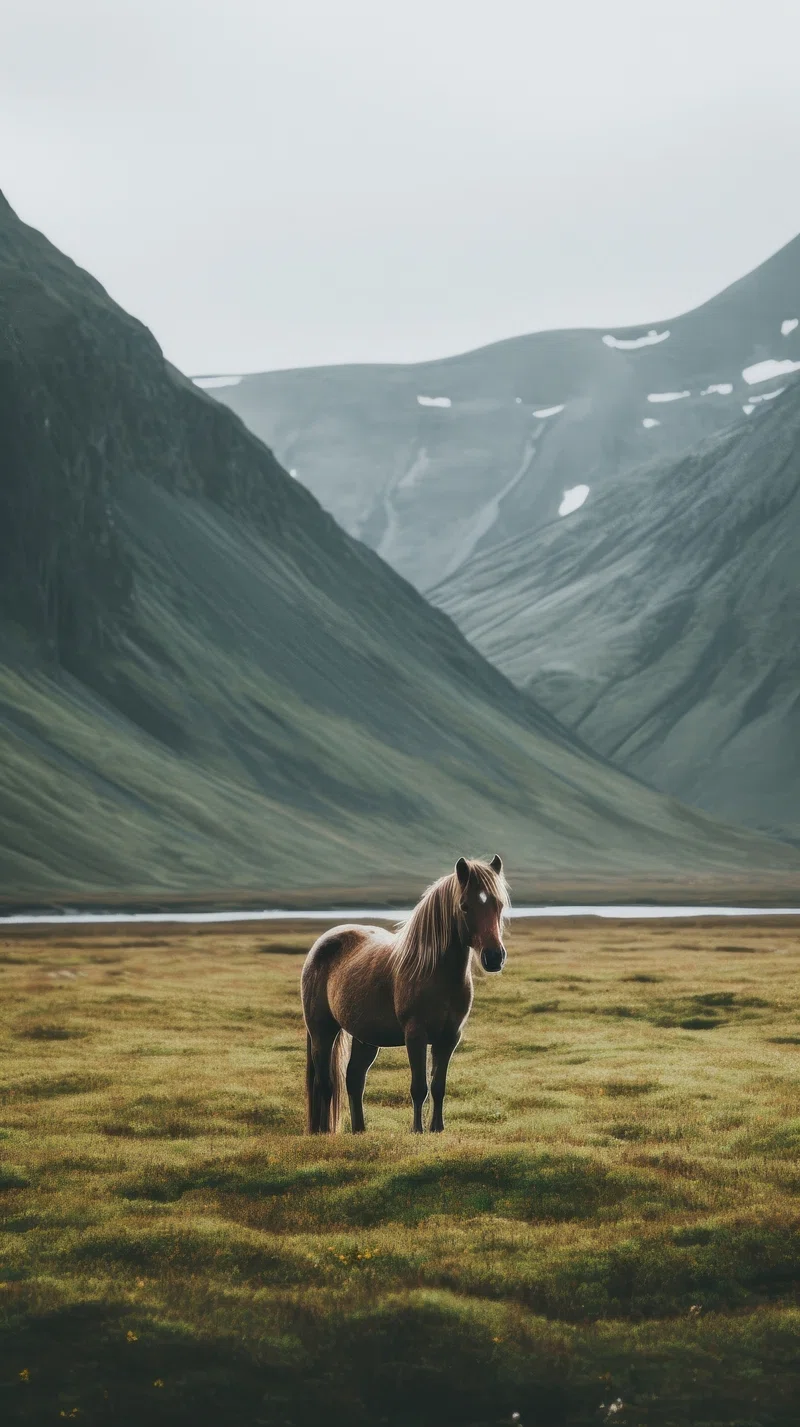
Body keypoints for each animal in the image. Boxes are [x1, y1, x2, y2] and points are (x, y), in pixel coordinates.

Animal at [301, 855, 509, 1134]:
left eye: (498, 904)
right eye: (465, 906)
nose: (494, 957)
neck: (434, 972)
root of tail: (322, 944)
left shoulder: (449, 1038)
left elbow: (438, 1087)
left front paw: (437, 1129)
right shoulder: (415, 1035)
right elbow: (419, 1087)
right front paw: (417, 1130)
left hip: (365, 1037)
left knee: (354, 1079)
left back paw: (360, 1130)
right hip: (322, 1032)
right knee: (324, 1084)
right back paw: (323, 1131)